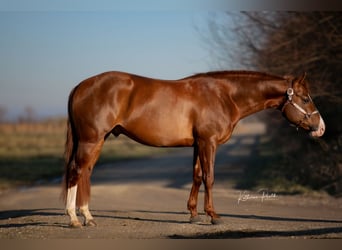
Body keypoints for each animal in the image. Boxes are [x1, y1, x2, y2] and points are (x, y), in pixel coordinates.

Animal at [62, 70, 326, 227]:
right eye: (305, 99)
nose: (320, 128)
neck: (224, 96)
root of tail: (80, 86)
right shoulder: (208, 142)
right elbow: (209, 177)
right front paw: (213, 216)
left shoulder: (198, 144)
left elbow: (197, 176)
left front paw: (193, 214)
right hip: (91, 139)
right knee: (76, 171)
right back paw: (74, 218)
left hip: (98, 140)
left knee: (86, 173)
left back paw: (88, 216)